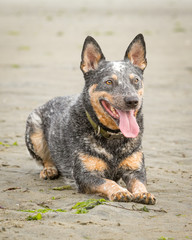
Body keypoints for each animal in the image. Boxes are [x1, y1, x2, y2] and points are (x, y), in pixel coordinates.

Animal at [25, 33, 156, 204]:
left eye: (136, 80)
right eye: (109, 82)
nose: (132, 100)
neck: (113, 137)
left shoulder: (136, 169)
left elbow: (139, 183)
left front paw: (144, 193)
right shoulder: (85, 175)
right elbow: (108, 182)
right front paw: (120, 190)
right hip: (34, 130)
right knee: (45, 159)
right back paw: (49, 169)